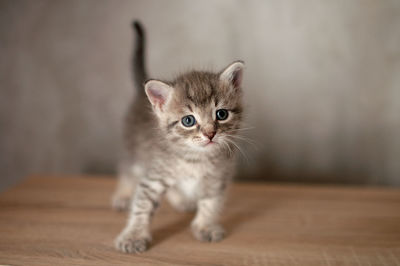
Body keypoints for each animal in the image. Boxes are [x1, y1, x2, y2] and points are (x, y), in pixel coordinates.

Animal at [111, 20, 244, 254]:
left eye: (221, 114)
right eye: (188, 120)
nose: (210, 133)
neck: (195, 158)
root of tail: (140, 95)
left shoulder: (218, 176)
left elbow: (211, 202)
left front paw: (205, 226)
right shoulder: (154, 175)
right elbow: (142, 206)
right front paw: (133, 236)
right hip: (132, 150)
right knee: (127, 171)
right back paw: (123, 195)